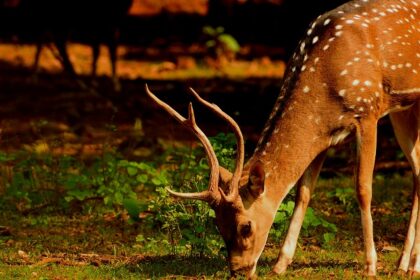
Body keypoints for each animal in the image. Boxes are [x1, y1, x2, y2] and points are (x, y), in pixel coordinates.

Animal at [144, 0, 416, 278]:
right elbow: (303, 193)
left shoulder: (368, 113)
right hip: (404, 111)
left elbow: (363, 189)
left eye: (246, 227)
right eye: (218, 224)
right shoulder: (325, 137)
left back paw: (409, 263)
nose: (238, 270)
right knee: (417, 173)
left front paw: (370, 265)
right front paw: (280, 263)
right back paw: (405, 262)